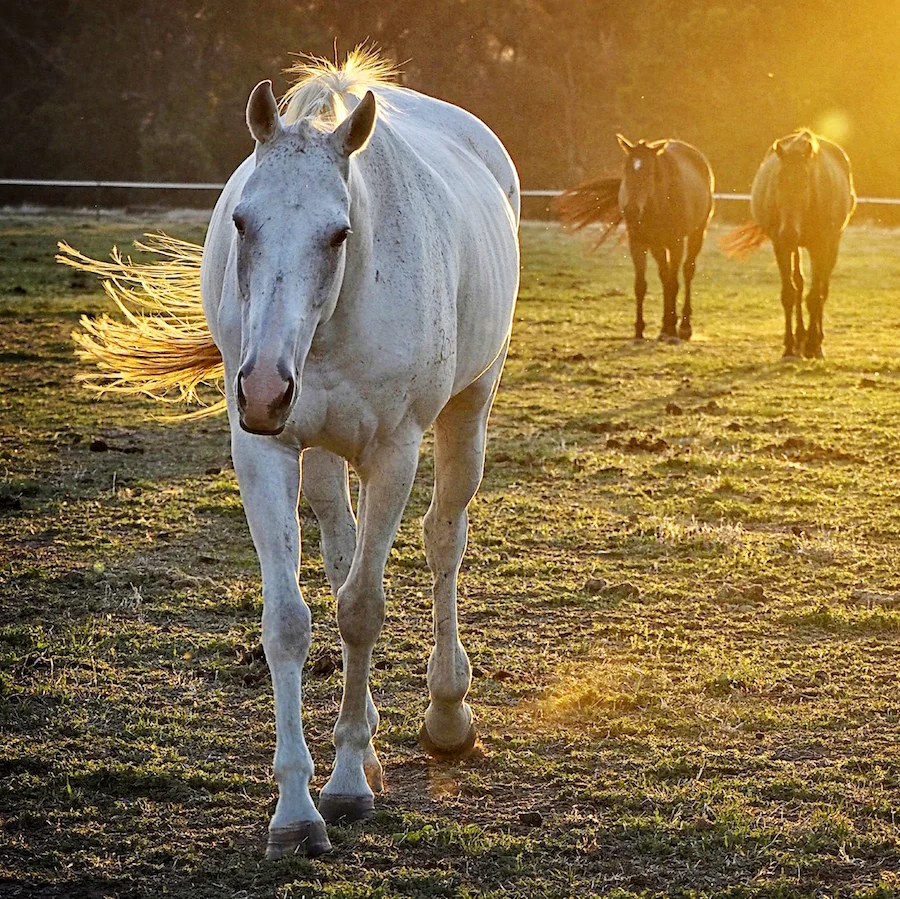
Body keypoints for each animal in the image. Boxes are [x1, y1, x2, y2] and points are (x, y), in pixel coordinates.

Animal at [61, 49, 520, 859]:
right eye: (242, 220)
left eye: (338, 234)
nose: (267, 387)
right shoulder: (266, 454)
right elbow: (292, 620)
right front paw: (299, 809)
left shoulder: (395, 452)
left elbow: (363, 609)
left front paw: (346, 785)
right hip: (326, 455)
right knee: (342, 555)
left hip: (469, 408)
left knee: (443, 540)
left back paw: (446, 713)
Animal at [554, 135, 714, 342]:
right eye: (627, 169)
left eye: (649, 171)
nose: (630, 210)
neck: (659, 202)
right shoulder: (638, 244)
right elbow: (641, 285)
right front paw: (640, 330)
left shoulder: (676, 243)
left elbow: (674, 282)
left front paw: (674, 329)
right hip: (657, 246)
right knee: (665, 277)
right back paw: (665, 326)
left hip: (696, 234)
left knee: (687, 272)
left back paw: (683, 326)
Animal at [721, 130, 855, 358]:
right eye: (777, 182)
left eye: (806, 183)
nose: (789, 233)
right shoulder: (782, 246)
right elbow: (789, 293)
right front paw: (790, 346)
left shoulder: (820, 246)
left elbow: (815, 296)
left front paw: (813, 345)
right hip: (796, 248)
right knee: (800, 284)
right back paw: (800, 336)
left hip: (831, 244)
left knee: (822, 289)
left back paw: (815, 341)